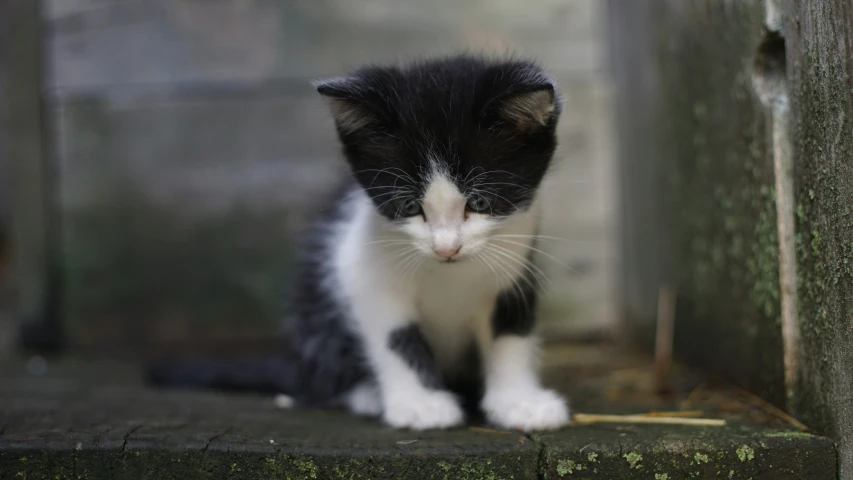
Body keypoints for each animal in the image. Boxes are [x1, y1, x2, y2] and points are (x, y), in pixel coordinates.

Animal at [150, 55, 568, 432]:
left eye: (480, 203)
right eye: (409, 206)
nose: (446, 248)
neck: (450, 274)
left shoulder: (516, 266)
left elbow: (510, 336)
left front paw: (519, 403)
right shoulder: (362, 270)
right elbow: (395, 337)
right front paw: (420, 405)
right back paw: (366, 395)